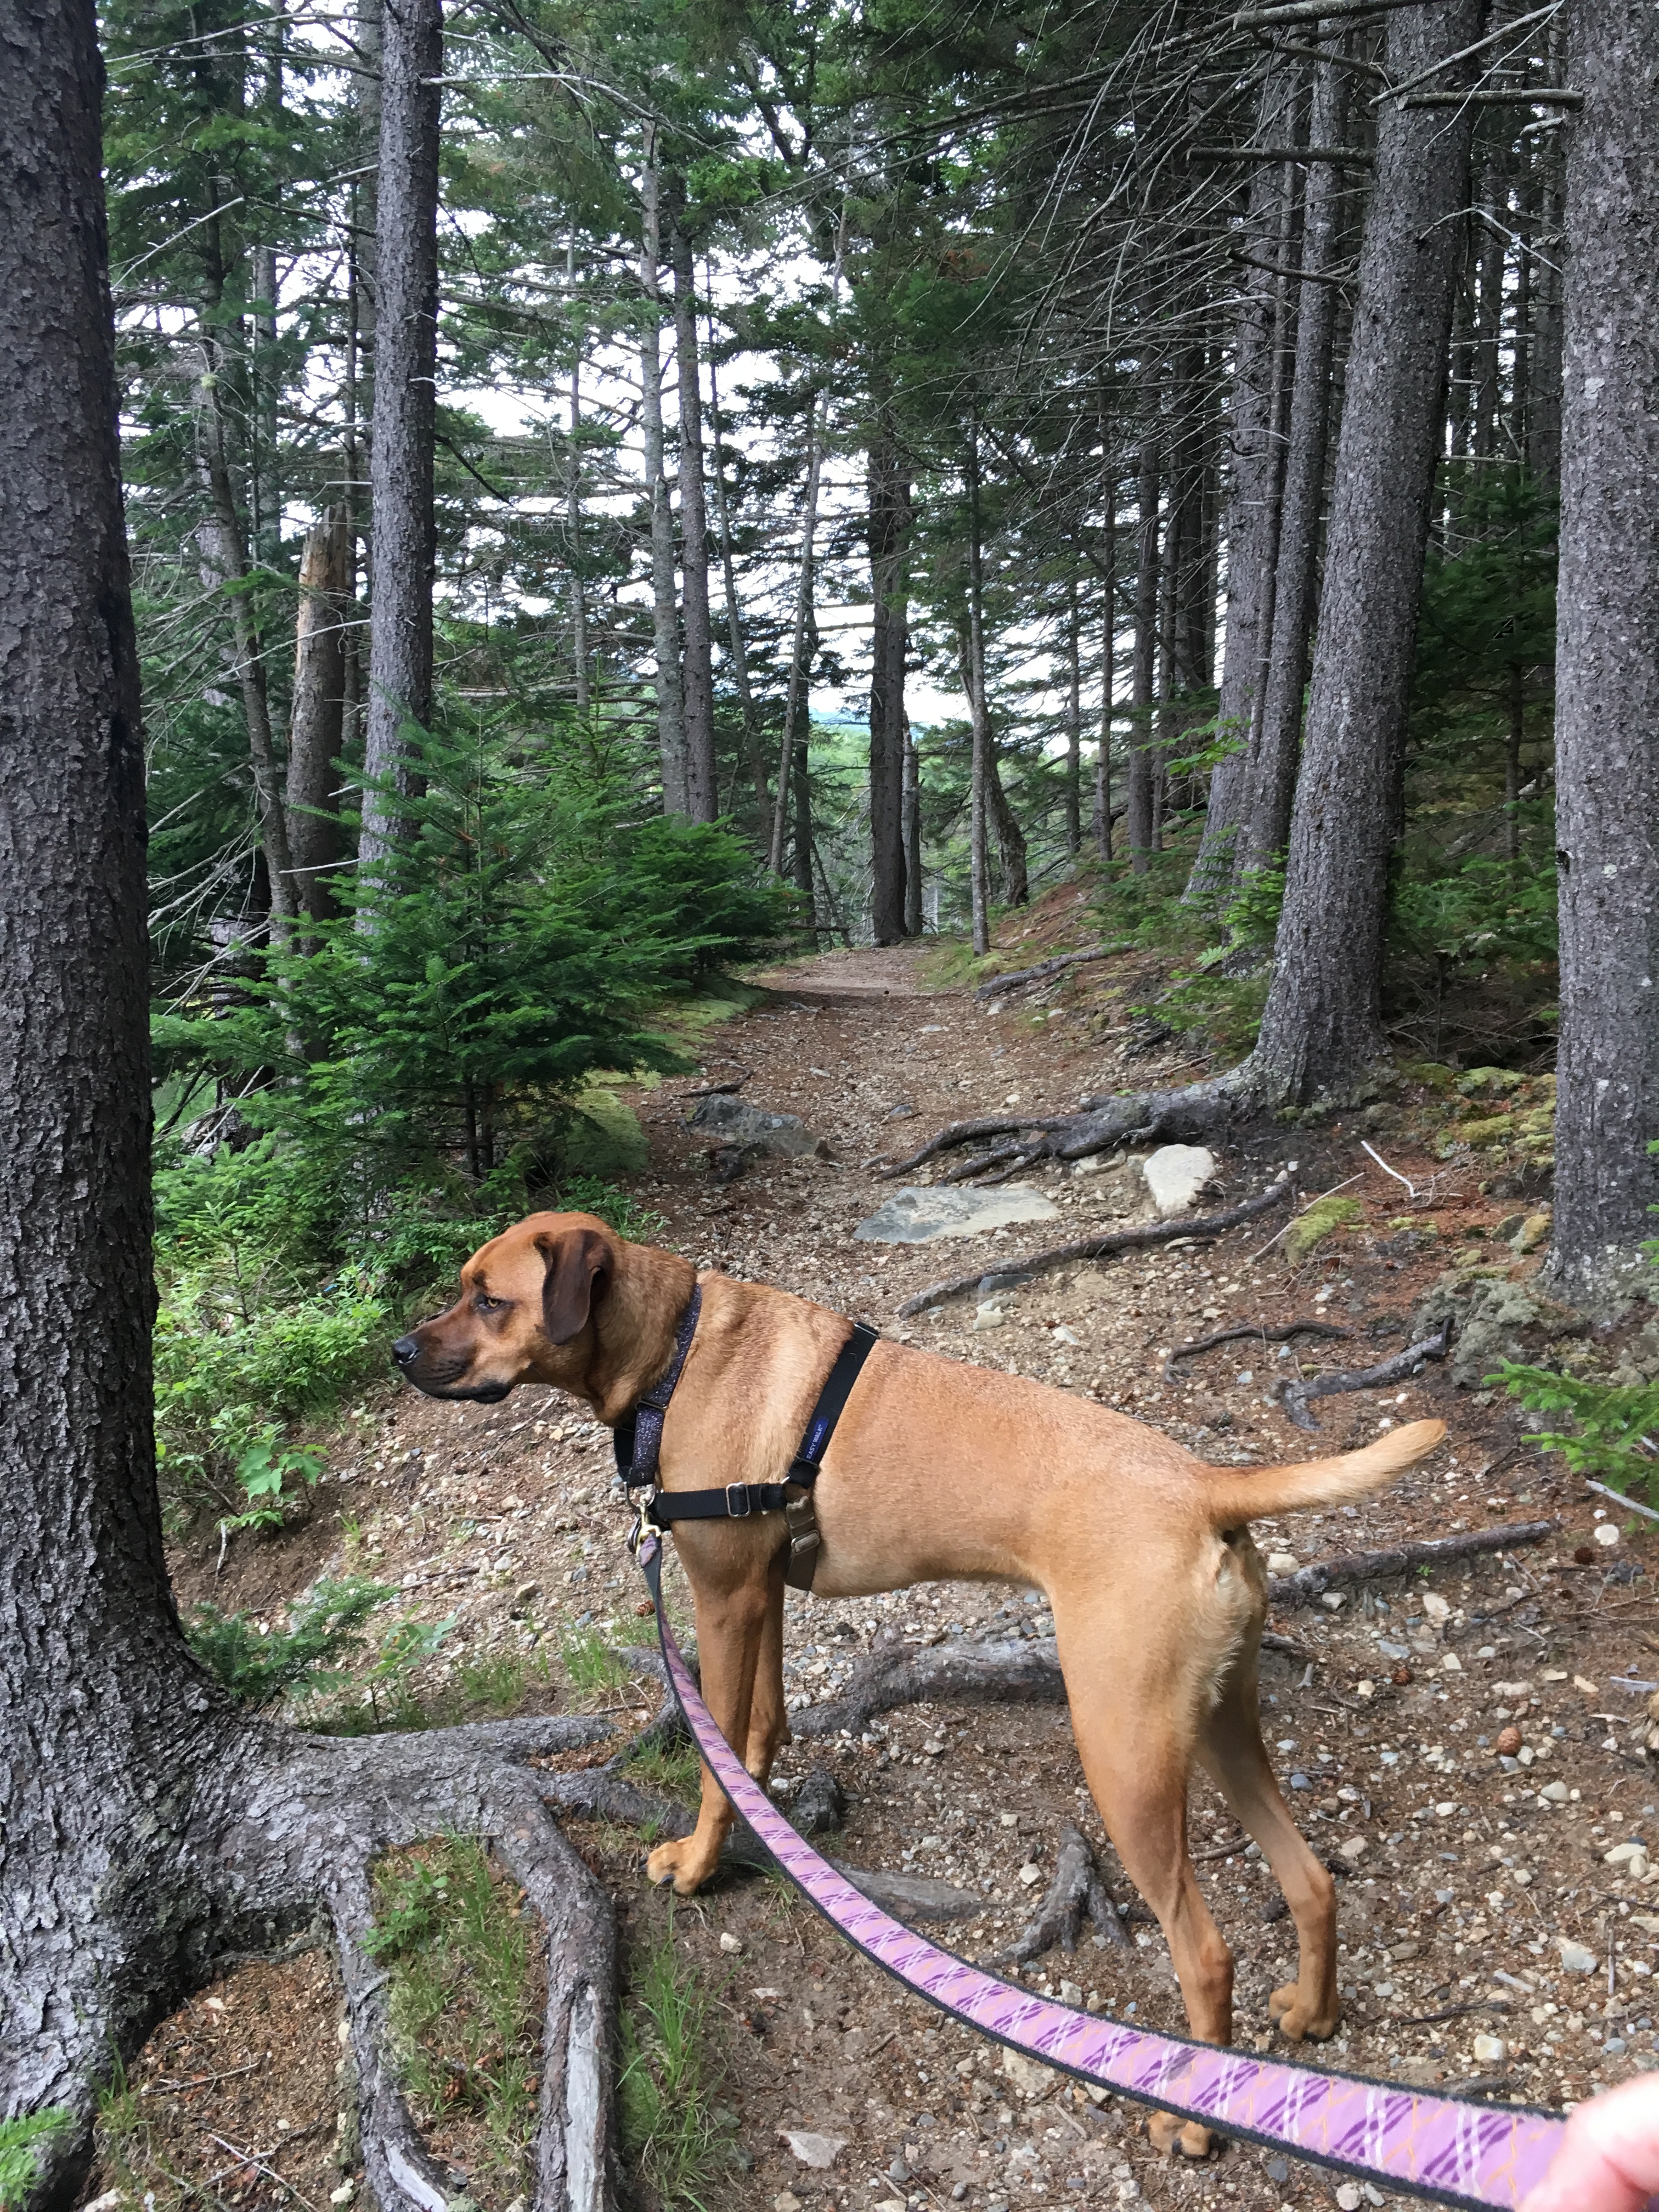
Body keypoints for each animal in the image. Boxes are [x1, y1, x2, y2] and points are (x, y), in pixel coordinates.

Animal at [393, 1210, 1446, 2157]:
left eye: (489, 1298)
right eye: (465, 1287)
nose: (401, 1349)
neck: (673, 1353)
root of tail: (1204, 1486)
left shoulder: (721, 1598)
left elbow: (712, 1757)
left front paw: (697, 1863)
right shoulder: (761, 1596)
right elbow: (758, 1728)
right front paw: (768, 1812)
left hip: (1125, 1756)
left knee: (1207, 1952)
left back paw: (1190, 2121)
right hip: (1224, 1725)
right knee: (1311, 1881)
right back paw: (1310, 2016)